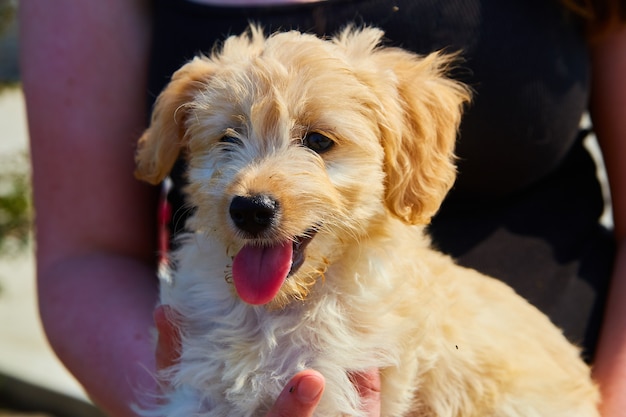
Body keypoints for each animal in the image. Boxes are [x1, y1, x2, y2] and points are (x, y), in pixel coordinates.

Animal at [135, 26, 596, 416]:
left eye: (319, 140)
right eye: (228, 138)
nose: (250, 209)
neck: (277, 311)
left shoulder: (338, 388)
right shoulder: (196, 383)